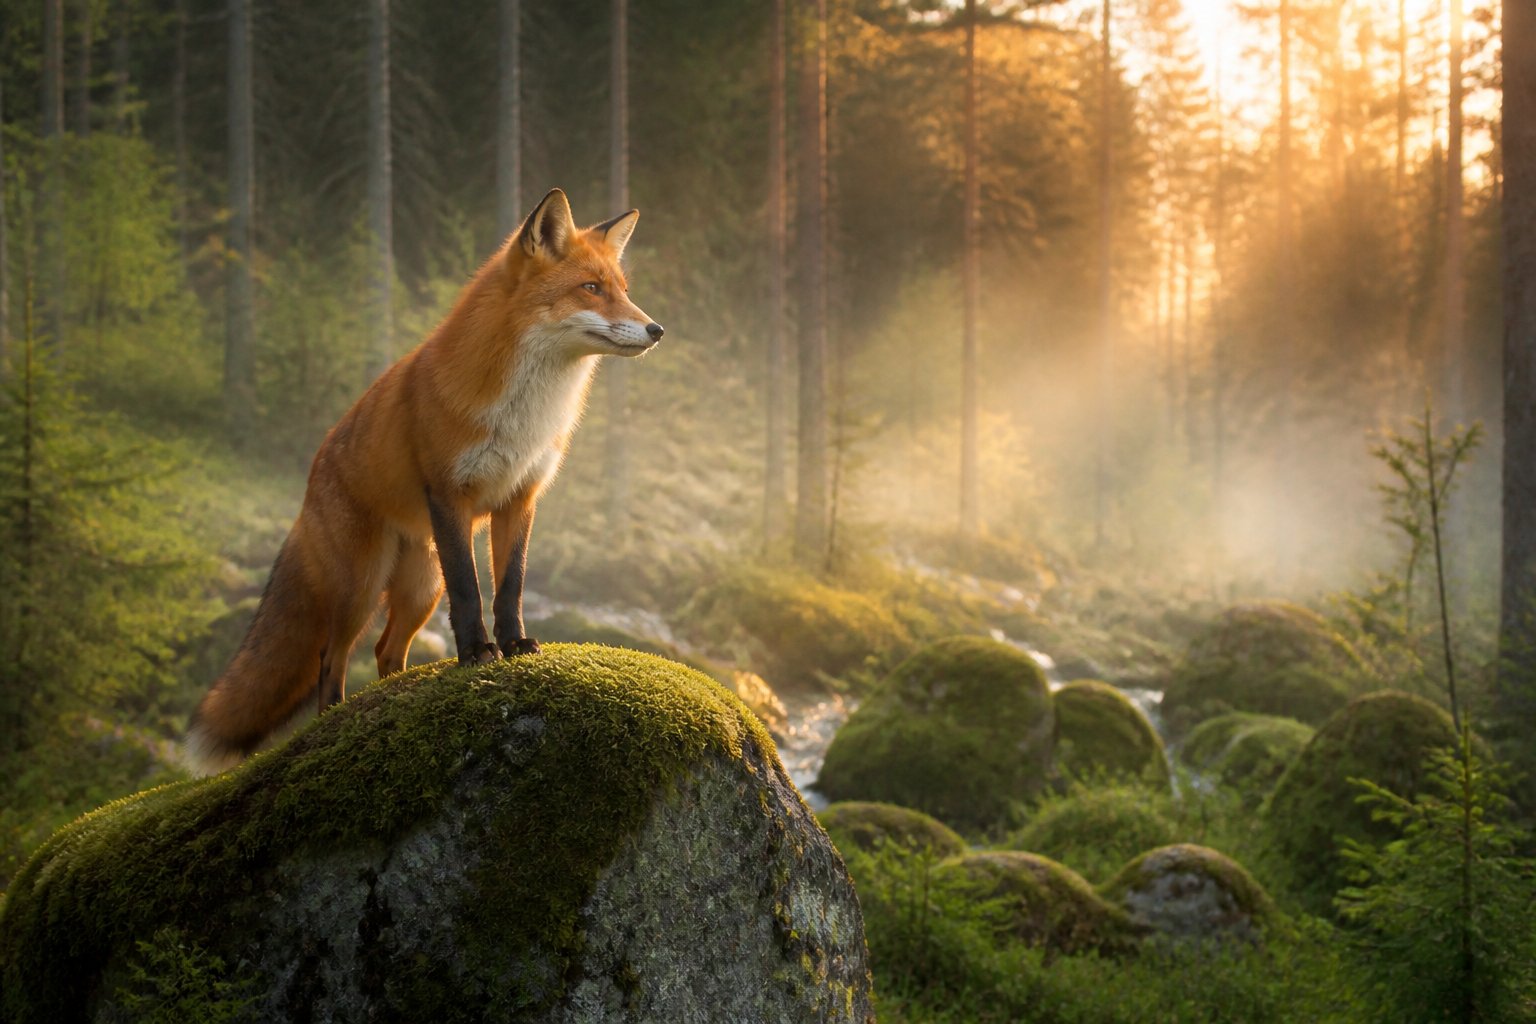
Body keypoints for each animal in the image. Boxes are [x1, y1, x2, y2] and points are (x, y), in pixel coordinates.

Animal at [185, 188, 663, 775]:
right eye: (590, 289)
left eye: (623, 292)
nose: (656, 330)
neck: (524, 413)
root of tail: (311, 480)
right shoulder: (450, 495)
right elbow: (471, 589)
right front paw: (476, 655)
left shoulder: (520, 498)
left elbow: (510, 586)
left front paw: (514, 645)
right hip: (363, 587)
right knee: (330, 656)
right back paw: (333, 718)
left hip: (418, 591)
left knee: (385, 650)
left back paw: (397, 699)